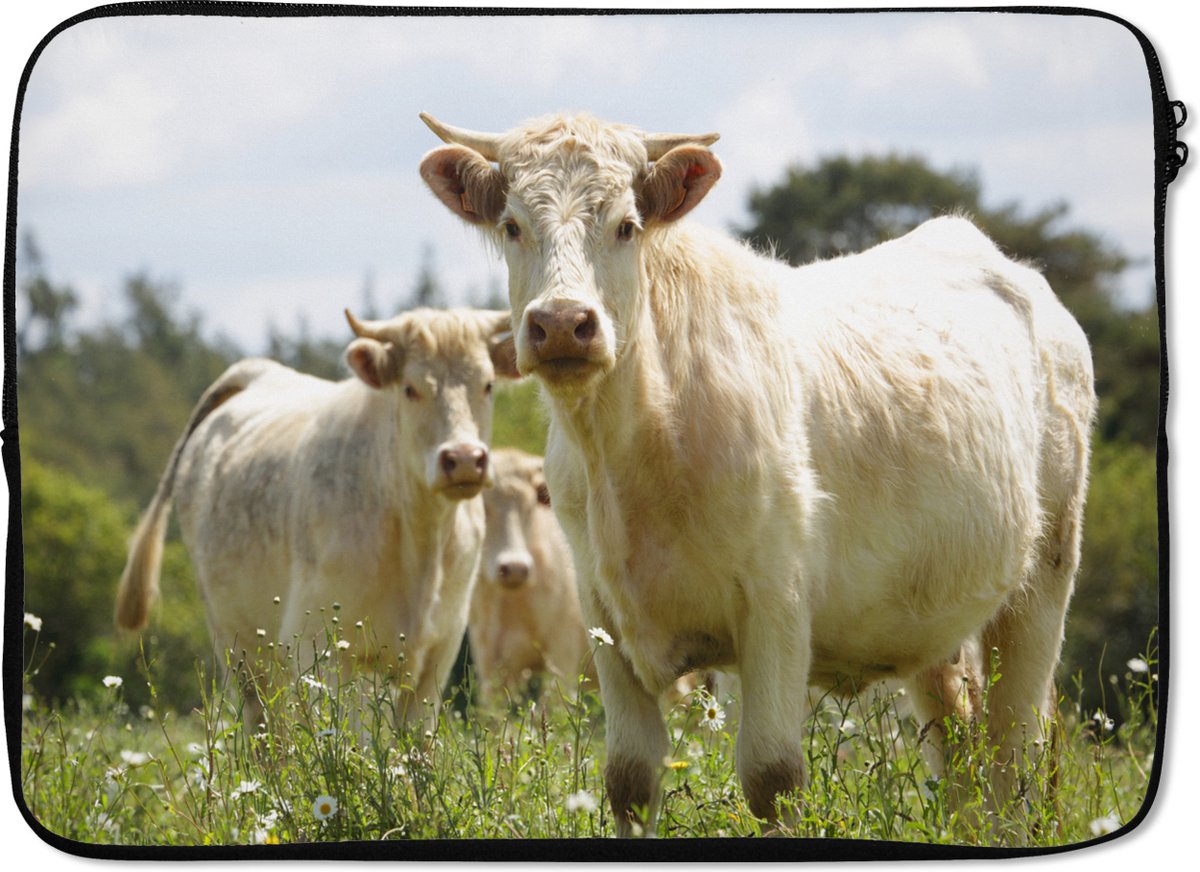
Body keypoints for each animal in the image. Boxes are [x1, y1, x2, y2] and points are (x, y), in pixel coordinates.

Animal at [115, 307, 518, 733]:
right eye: (410, 388)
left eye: (488, 385)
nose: (464, 459)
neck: (421, 540)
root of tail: (256, 371)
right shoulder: (321, 647)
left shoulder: (440, 652)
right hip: (234, 639)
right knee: (263, 721)